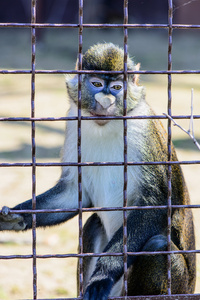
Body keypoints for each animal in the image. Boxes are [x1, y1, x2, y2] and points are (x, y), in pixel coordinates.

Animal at [0, 43, 196, 298]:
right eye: (96, 84)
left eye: (116, 88)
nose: (105, 102)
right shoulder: (74, 121)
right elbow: (73, 193)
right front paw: (14, 217)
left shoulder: (142, 129)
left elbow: (156, 203)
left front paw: (102, 276)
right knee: (92, 224)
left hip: (178, 285)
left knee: (158, 244)